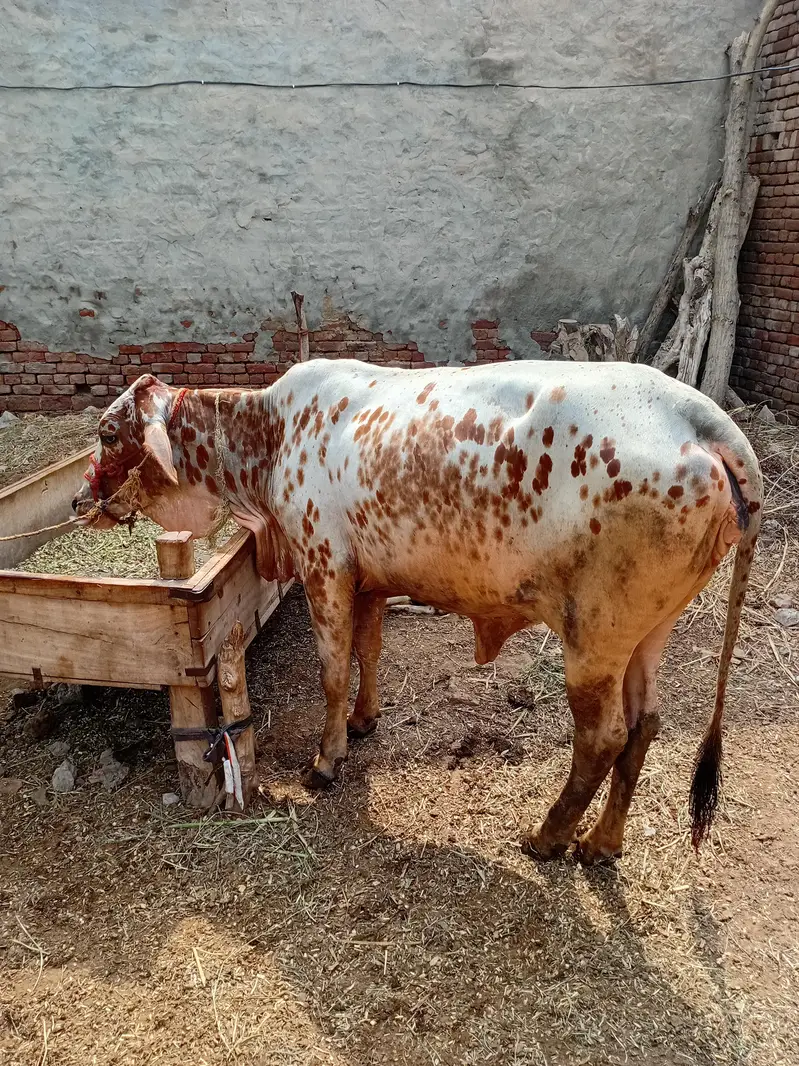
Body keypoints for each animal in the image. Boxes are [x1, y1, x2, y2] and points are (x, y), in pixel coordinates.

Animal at [72, 360, 762, 863]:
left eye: (108, 433)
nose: (80, 499)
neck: (270, 435)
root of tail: (704, 420)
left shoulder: (324, 569)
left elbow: (332, 671)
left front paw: (326, 760)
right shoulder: (369, 581)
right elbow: (369, 652)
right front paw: (364, 719)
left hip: (594, 638)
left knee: (604, 738)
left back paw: (548, 837)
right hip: (648, 632)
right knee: (643, 727)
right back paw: (601, 842)